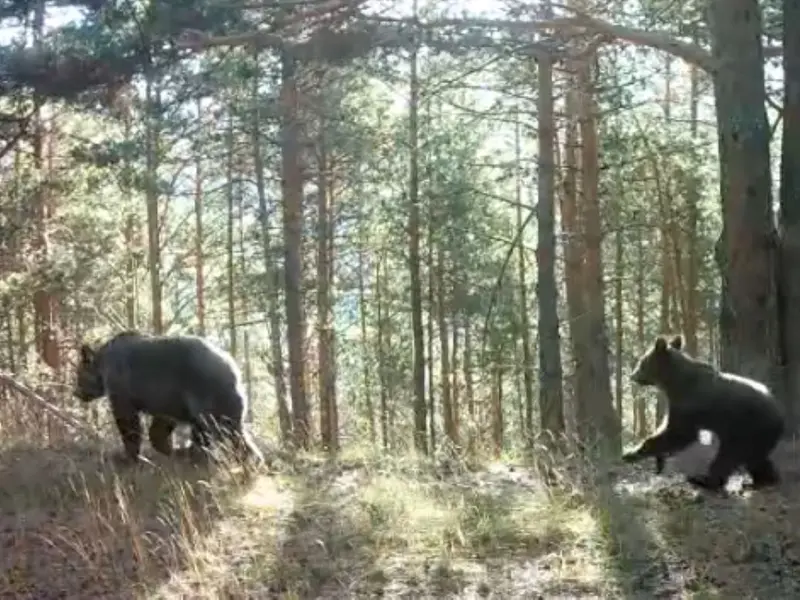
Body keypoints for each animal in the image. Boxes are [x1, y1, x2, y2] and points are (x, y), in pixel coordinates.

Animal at [73, 330, 264, 468]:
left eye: (78, 375)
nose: (77, 393)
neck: (103, 364)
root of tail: (233, 365)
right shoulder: (167, 399)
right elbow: (160, 426)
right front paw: (166, 449)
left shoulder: (122, 387)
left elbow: (127, 421)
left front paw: (128, 456)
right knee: (212, 430)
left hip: (208, 392)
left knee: (222, 428)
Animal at [622, 334, 785, 492]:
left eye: (642, 362)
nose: (632, 375)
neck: (673, 383)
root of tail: (779, 413)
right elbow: (669, 429)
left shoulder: (688, 404)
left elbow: (679, 433)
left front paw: (632, 452)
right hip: (756, 435)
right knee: (754, 458)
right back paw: (763, 480)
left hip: (746, 428)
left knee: (729, 456)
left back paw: (703, 480)